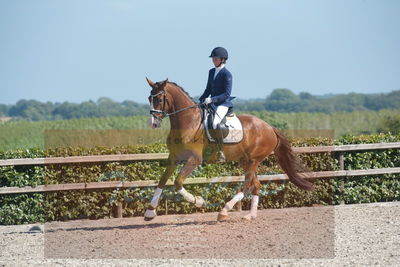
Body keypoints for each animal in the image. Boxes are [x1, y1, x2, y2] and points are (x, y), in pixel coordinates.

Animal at [144, 78, 312, 223]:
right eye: (149, 98)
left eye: (159, 100)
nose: (152, 123)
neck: (189, 122)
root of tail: (270, 127)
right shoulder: (173, 158)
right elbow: (162, 180)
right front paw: (150, 212)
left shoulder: (194, 160)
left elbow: (178, 182)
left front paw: (198, 201)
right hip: (245, 161)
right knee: (255, 184)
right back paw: (250, 215)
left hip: (253, 160)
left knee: (248, 184)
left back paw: (224, 211)